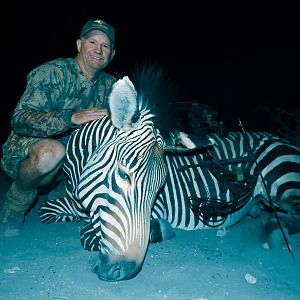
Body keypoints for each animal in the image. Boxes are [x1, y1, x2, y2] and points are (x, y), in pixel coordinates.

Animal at [38, 63, 300, 282]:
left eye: (158, 189)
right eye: (123, 176)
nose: (125, 271)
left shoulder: (158, 209)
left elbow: (88, 235)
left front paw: (159, 229)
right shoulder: (69, 202)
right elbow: (47, 211)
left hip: (281, 173)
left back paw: (275, 232)